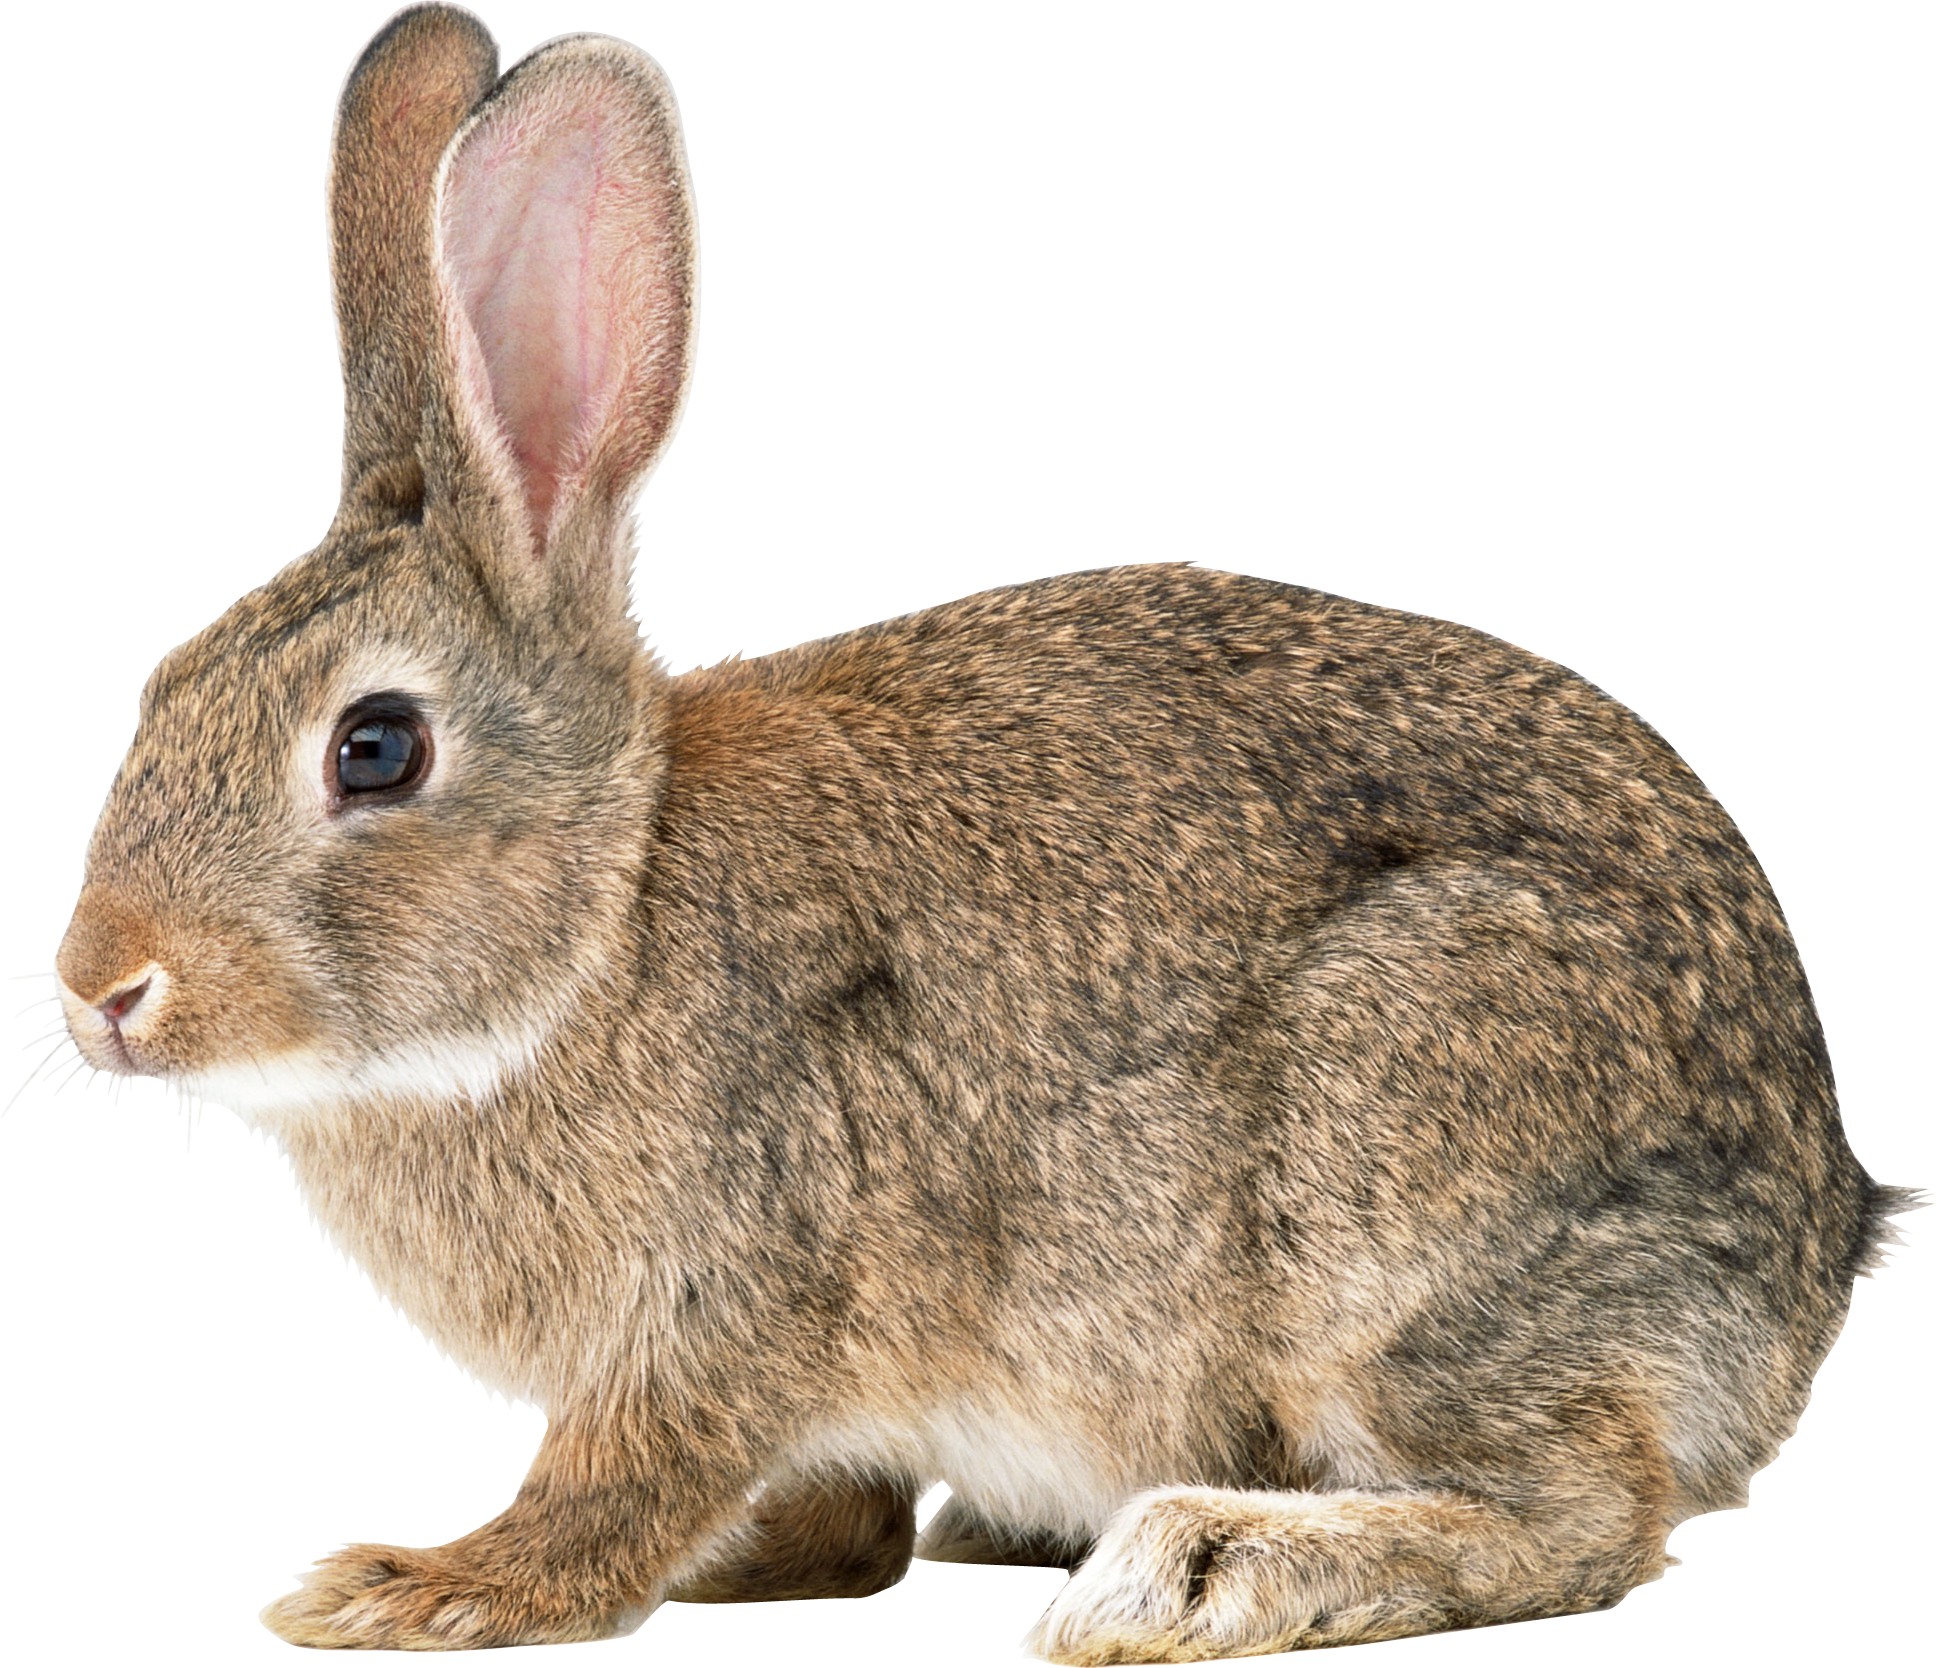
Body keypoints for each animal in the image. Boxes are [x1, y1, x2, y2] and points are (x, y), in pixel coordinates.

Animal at [53, 5, 1898, 1660]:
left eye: (374, 749)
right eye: (161, 689)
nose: (98, 989)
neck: (604, 920)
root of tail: (1815, 1255)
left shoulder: (726, 1296)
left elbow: (617, 1487)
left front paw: (416, 1586)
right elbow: (833, 1512)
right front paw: (757, 1566)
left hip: (1398, 1172)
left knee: (1579, 1513)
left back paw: (1200, 1566)